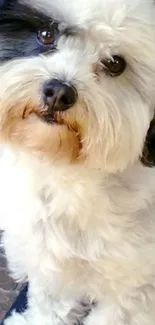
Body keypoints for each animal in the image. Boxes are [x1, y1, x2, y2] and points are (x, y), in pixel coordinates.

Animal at [0, 0, 155, 322]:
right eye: (46, 34)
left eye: (115, 64)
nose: (58, 92)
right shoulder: (49, 255)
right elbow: (50, 298)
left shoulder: (138, 287)